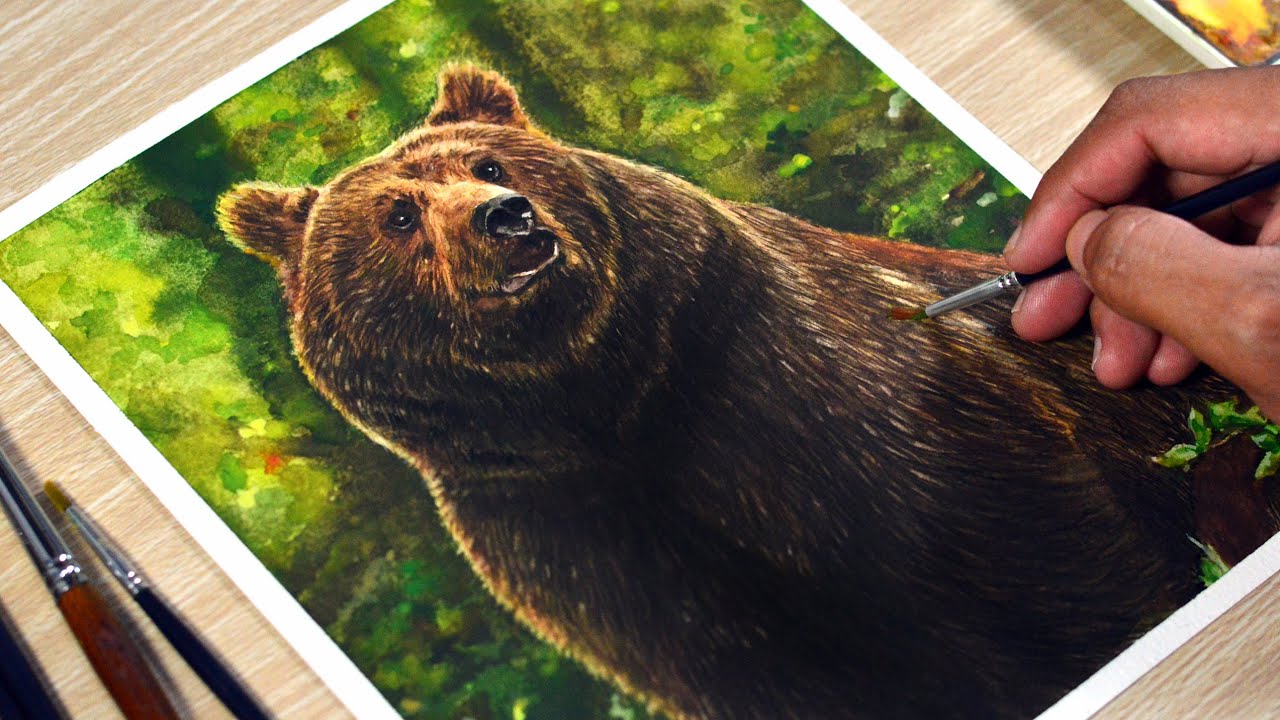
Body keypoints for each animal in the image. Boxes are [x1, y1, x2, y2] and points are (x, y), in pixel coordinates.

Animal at [218, 64, 1231, 719]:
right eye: (397, 214)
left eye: (490, 164)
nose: (507, 220)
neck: (607, 403)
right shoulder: (573, 532)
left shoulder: (805, 389)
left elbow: (1043, 561)